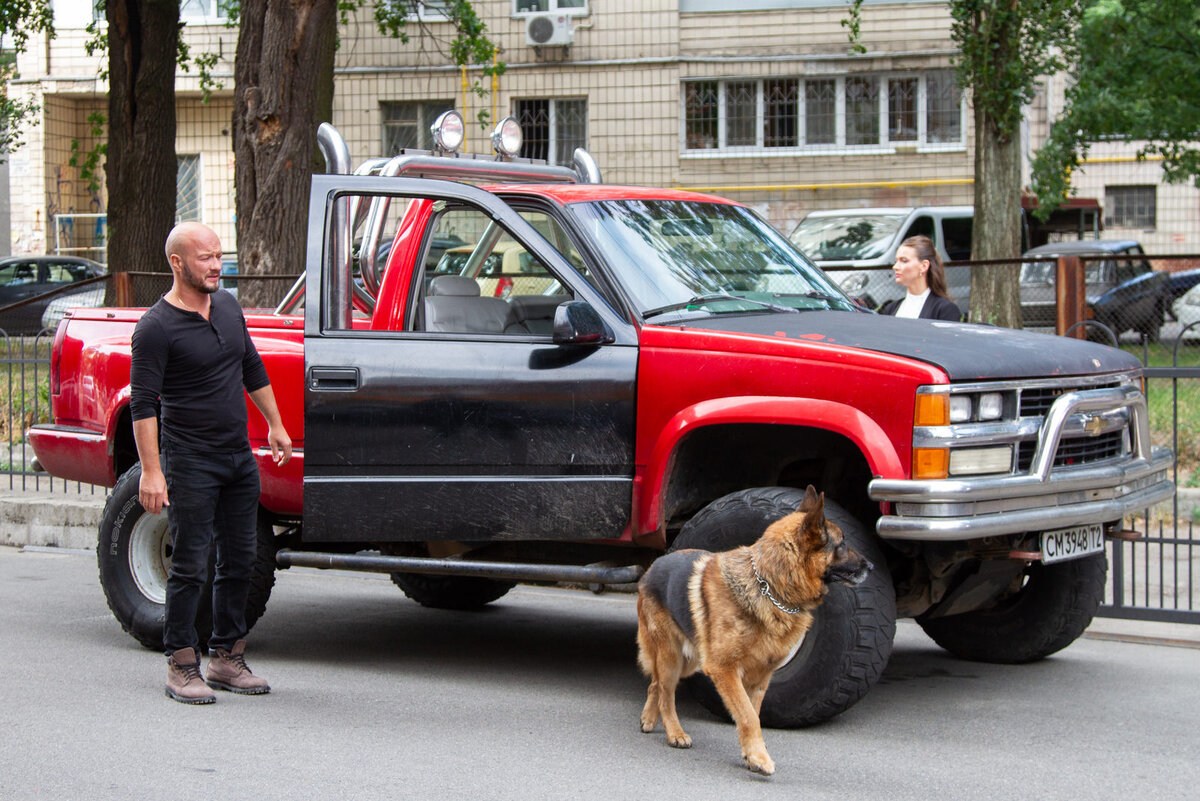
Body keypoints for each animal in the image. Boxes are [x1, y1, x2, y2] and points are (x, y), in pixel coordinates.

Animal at [638, 484, 873, 772]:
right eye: (841, 545)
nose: (871, 566)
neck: (770, 585)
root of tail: (655, 565)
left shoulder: (760, 678)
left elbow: (753, 715)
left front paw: (752, 754)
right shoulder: (724, 670)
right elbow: (748, 716)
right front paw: (760, 758)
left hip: (689, 661)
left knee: (656, 684)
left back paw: (649, 719)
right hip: (673, 657)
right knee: (665, 691)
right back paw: (675, 732)